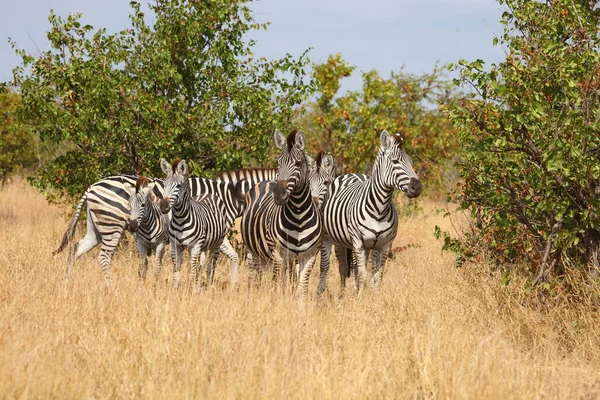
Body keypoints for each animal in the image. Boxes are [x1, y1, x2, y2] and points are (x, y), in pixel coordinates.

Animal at [159, 159, 244, 288]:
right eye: (164, 185)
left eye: (178, 186)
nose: (163, 206)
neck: (180, 219)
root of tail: (209, 194)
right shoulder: (175, 246)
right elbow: (176, 272)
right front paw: (175, 289)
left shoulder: (194, 246)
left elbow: (192, 272)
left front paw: (191, 290)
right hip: (204, 245)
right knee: (203, 265)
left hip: (216, 243)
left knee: (211, 266)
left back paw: (209, 286)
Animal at [240, 130, 324, 298]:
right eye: (278, 162)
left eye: (298, 163)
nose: (278, 194)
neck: (298, 215)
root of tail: (266, 181)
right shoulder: (278, 255)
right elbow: (279, 287)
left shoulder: (310, 255)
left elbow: (301, 289)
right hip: (254, 251)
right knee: (256, 276)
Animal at [316, 130, 424, 296]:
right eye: (395, 162)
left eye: (411, 162)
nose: (417, 188)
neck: (380, 209)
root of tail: (351, 174)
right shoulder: (358, 241)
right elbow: (362, 274)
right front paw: (360, 298)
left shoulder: (385, 244)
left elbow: (377, 275)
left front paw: (374, 296)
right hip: (332, 239)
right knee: (335, 267)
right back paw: (331, 294)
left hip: (367, 246)